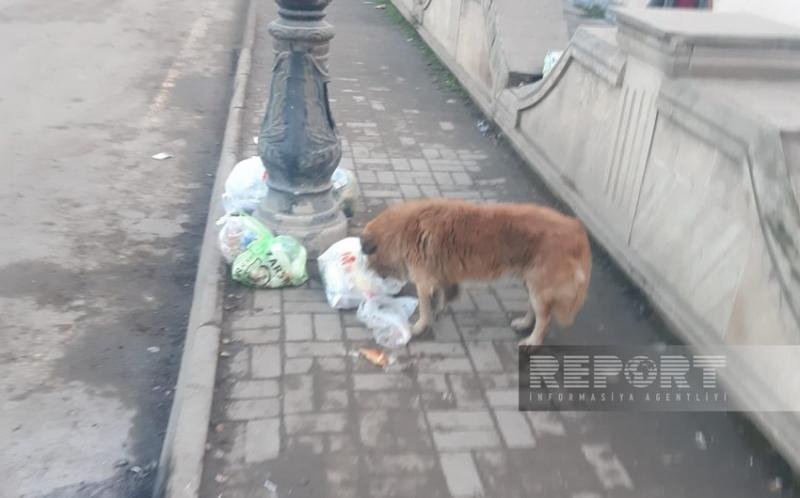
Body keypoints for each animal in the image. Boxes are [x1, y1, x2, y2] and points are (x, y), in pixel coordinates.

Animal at [360, 199, 591, 346]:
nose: (378, 276)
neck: (404, 229)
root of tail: (576, 229)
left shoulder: (423, 281)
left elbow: (425, 308)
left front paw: (419, 326)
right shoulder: (438, 273)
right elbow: (442, 293)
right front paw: (440, 307)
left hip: (538, 288)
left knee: (544, 320)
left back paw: (532, 340)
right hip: (531, 284)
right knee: (536, 311)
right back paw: (524, 323)